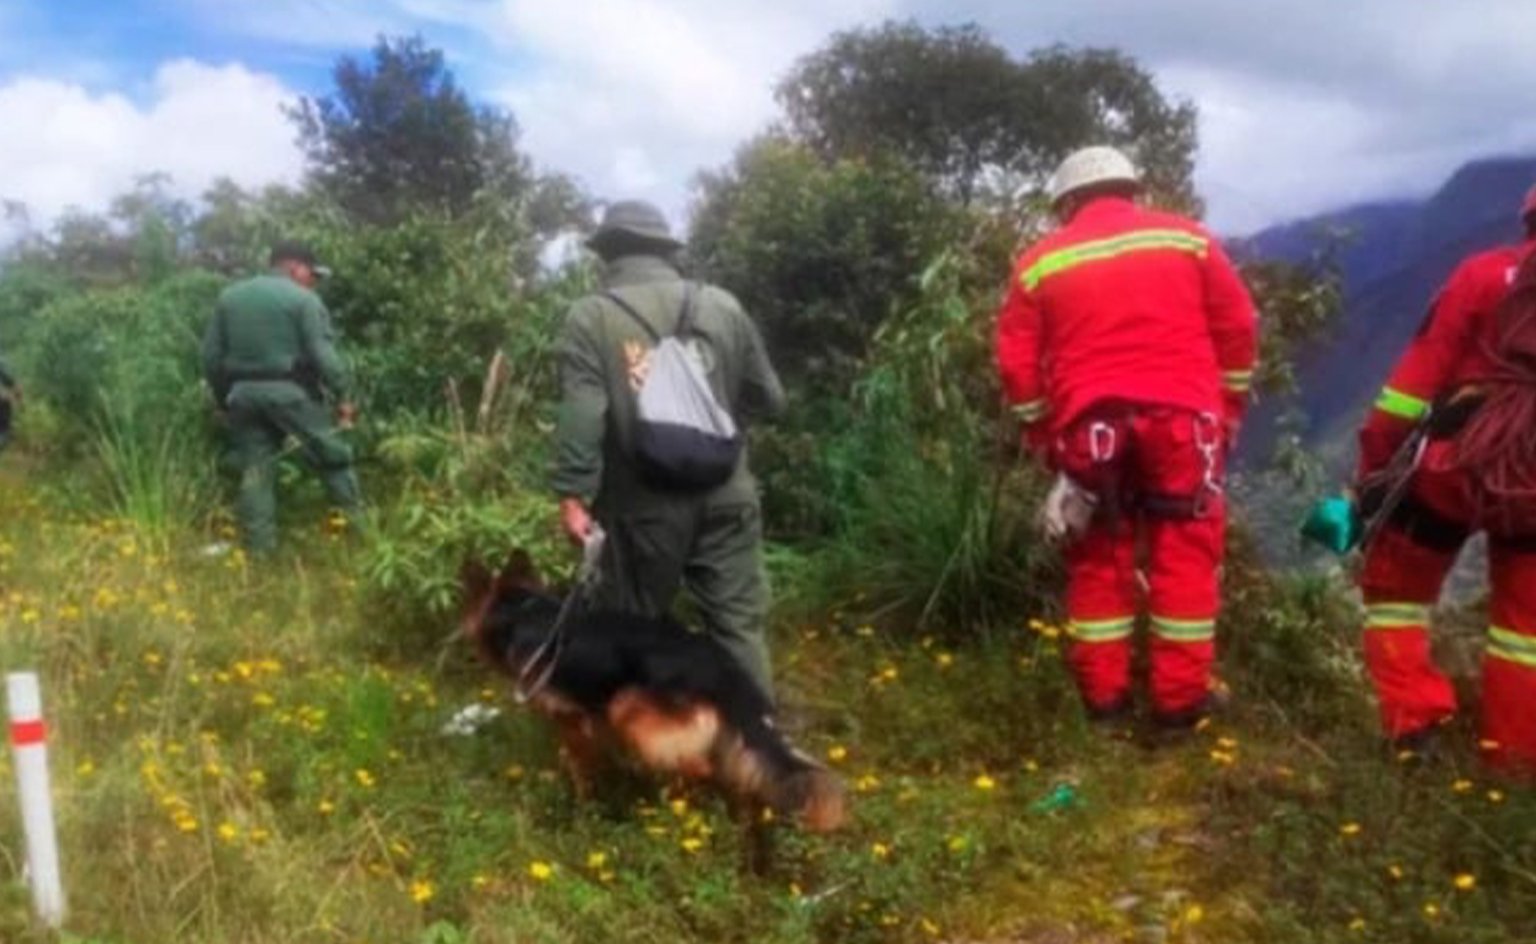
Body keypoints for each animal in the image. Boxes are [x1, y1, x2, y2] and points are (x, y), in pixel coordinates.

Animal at [460, 550, 846, 838]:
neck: (521, 611)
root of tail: (721, 669)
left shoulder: (571, 720)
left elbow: (578, 765)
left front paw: (583, 806)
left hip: (628, 708)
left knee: (703, 767)